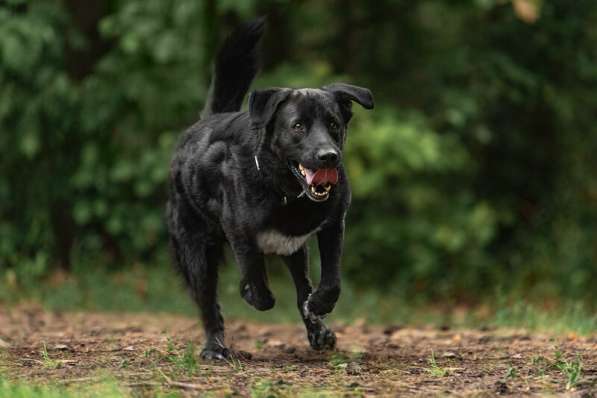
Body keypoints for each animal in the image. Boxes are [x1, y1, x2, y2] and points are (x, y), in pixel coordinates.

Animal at [168, 19, 372, 360]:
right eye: (298, 126)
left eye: (333, 123)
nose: (328, 156)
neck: (287, 193)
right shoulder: (239, 233)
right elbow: (257, 283)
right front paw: (248, 292)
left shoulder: (333, 225)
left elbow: (330, 281)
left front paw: (320, 305)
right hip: (196, 248)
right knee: (208, 302)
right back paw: (215, 347)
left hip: (295, 252)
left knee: (302, 287)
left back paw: (318, 331)